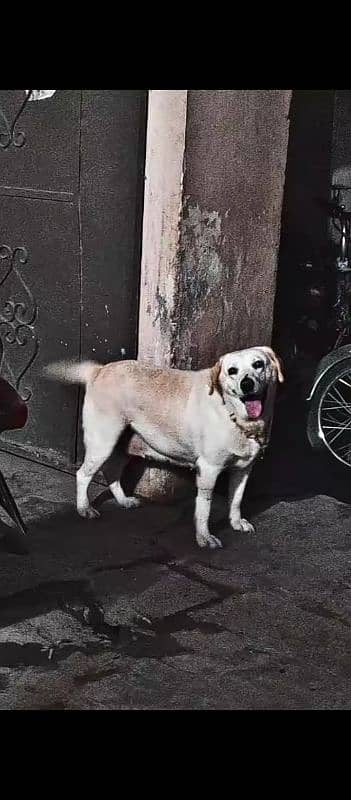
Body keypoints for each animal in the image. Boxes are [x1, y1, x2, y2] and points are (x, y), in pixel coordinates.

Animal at [45, 346, 284, 552]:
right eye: (232, 371)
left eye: (258, 364)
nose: (247, 383)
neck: (232, 414)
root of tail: (100, 370)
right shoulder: (208, 470)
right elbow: (204, 508)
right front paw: (204, 537)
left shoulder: (243, 469)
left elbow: (236, 500)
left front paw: (236, 523)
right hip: (102, 442)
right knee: (83, 474)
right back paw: (84, 508)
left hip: (123, 446)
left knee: (112, 472)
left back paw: (123, 500)